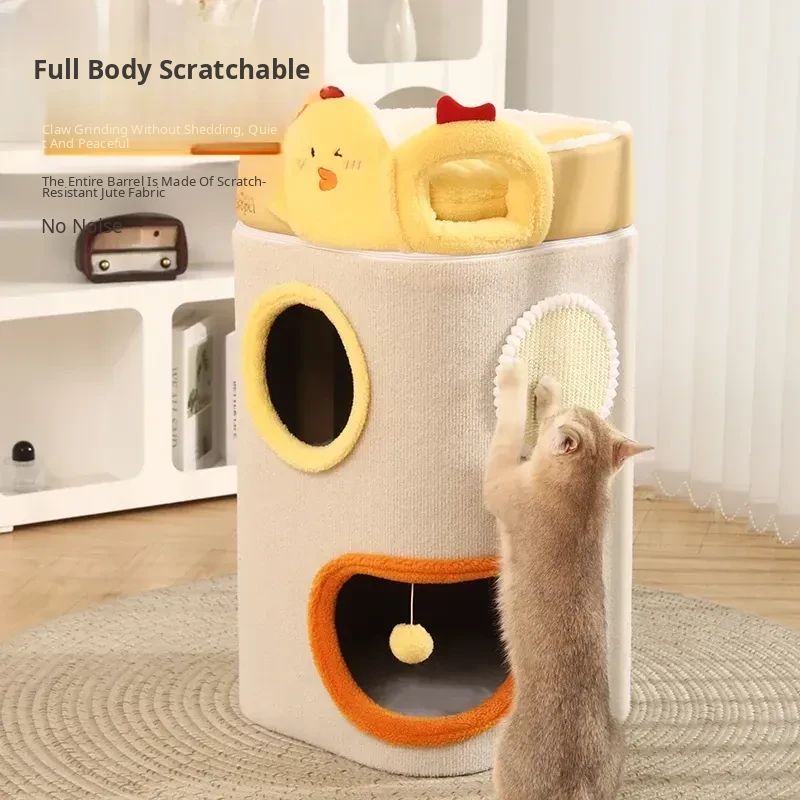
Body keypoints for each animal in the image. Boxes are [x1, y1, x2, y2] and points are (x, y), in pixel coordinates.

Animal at [484, 359, 651, 800]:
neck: (585, 496)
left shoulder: (500, 481)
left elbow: (508, 430)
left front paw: (517, 379)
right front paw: (549, 391)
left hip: (504, 755)